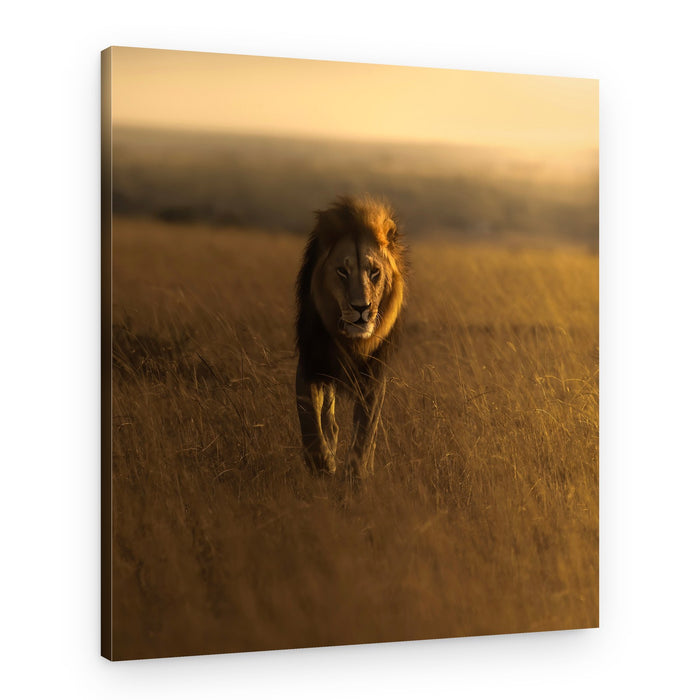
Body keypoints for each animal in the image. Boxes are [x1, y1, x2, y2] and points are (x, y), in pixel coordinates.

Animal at [295, 194, 406, 479]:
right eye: (342, 272)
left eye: (374, 272)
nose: (361, 308)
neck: (351, 340)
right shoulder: (311, 365)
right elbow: (311, 422)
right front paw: (323, 465)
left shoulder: (373, 378)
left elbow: (365, 433)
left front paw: (355, 474)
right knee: (329, 421)